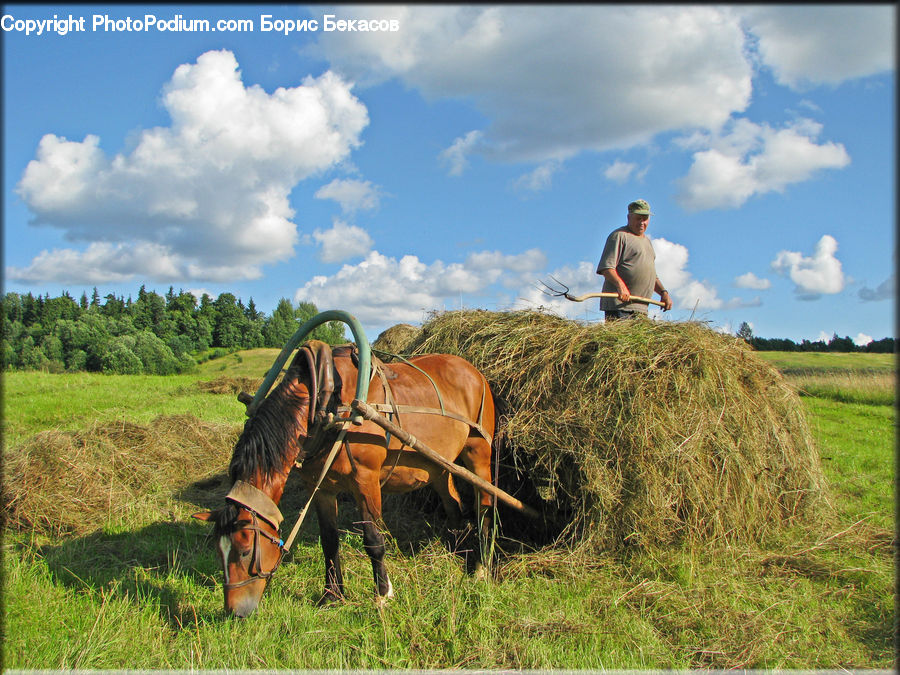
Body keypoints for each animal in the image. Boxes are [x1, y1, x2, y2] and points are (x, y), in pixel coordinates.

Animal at [193, 341, 497, 617]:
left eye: (244, 551)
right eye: (219, 551)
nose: (235, 611)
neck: (327, 404)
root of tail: (474, 371)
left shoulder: (366, 481)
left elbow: (373, 541)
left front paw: (383, 595)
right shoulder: (321, 488)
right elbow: (329, 540)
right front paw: (332, 595)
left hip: (478, 454)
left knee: (484, 504)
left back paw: (481, 567)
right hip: (438, 465)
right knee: (454, 504)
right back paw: (456, 551)